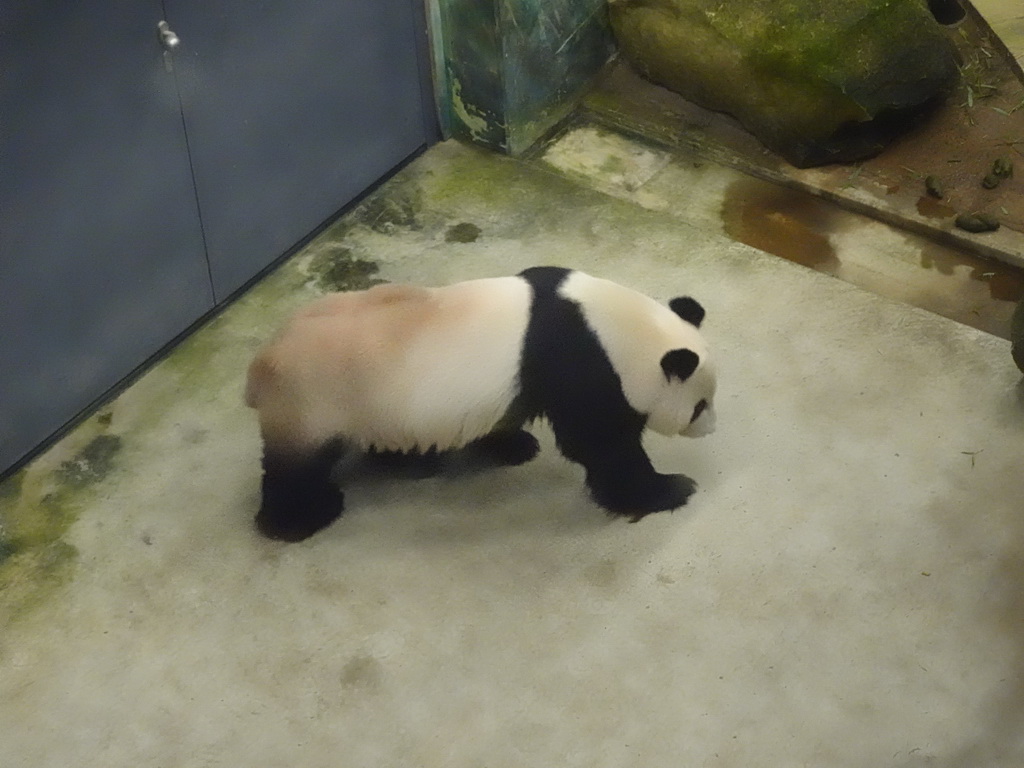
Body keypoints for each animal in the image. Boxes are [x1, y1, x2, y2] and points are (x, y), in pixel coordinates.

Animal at [243, 268, 716, 544]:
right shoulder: (578, 364)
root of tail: (262, 363)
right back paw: (302, 519)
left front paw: (514, 446)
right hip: (316, 400)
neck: (611, 326)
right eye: (699, 405)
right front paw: (670, 489)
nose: (710, 428)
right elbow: (600, 444)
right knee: (295, 468)